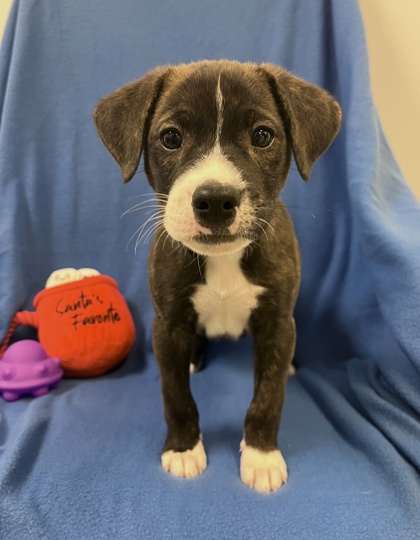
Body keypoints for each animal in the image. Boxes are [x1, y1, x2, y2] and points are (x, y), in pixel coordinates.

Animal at [93, 60, 340, 494]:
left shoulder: (277, 323)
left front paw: (261, 456)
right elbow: (175, 394)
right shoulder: (168, 323)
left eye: (263, 136)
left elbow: (268, 396)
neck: (223, 260)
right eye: (170, 138)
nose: (214, 200)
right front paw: (183, 448)